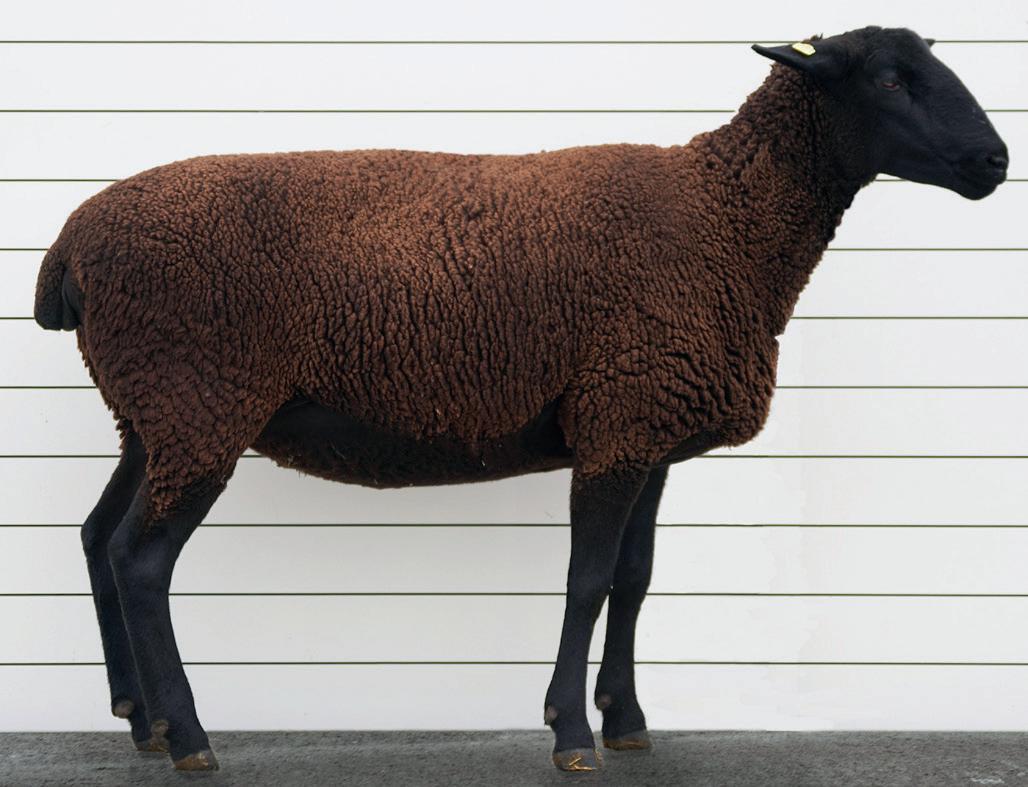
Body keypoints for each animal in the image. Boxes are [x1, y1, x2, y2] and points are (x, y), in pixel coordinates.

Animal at [33, 26, 1007, 773]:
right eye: (890, 78)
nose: (994, 159)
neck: (728, 218)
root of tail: (70, 245)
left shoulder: (644, 423)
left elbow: (635, 579)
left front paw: (628, 721)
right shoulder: (618, 418)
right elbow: (586, 580)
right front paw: (571, 732)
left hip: (153, 414)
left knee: (97, 537)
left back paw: (141, 719)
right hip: (199, 401)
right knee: (142, 560)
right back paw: (190, 736)